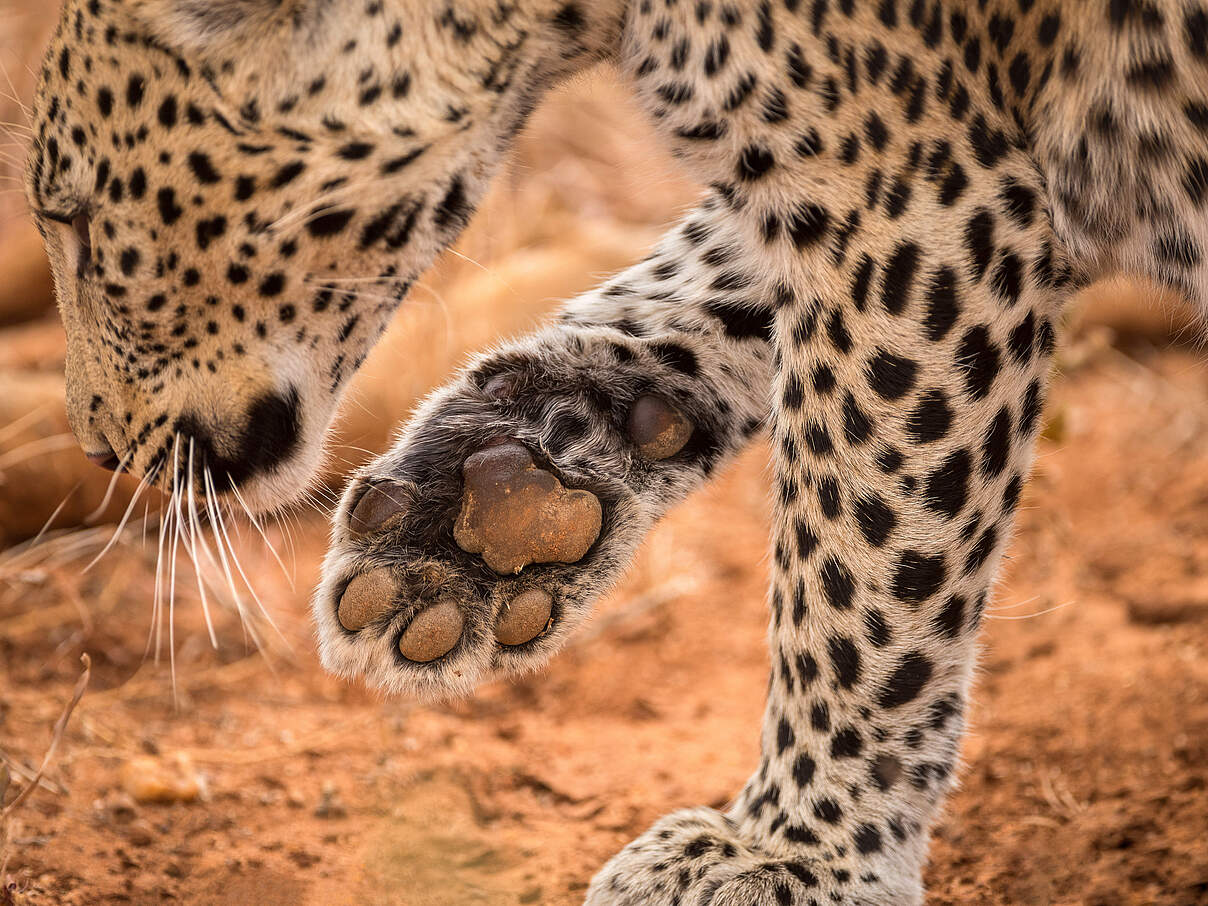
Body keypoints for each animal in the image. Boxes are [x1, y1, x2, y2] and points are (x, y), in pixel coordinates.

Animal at [24, 0, 1208, 902]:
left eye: (75, 220)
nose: (97, 444)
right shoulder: (889, 188)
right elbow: (688, 289)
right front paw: (475, 528)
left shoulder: (922, 194)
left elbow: (863, 552)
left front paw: (795, 846)